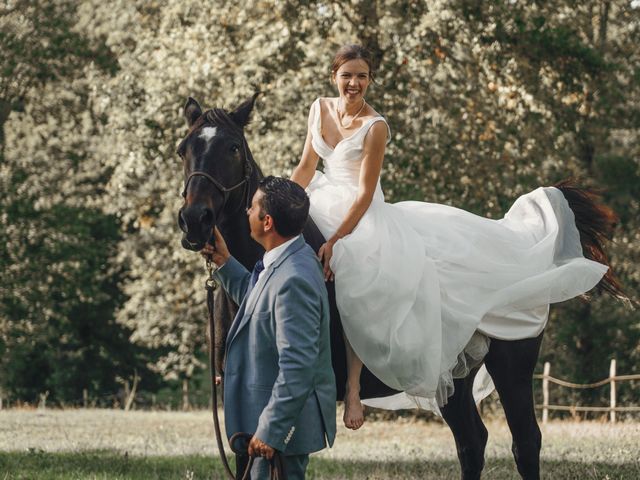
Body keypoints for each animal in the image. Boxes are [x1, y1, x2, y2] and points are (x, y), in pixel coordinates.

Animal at [176, 94, 624, 480]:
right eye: (184, 149)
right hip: (454, 378)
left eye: (233, 147)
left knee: (525, 443)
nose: (195, 220)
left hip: (511, 366)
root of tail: (524, 241)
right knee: (472, 443)